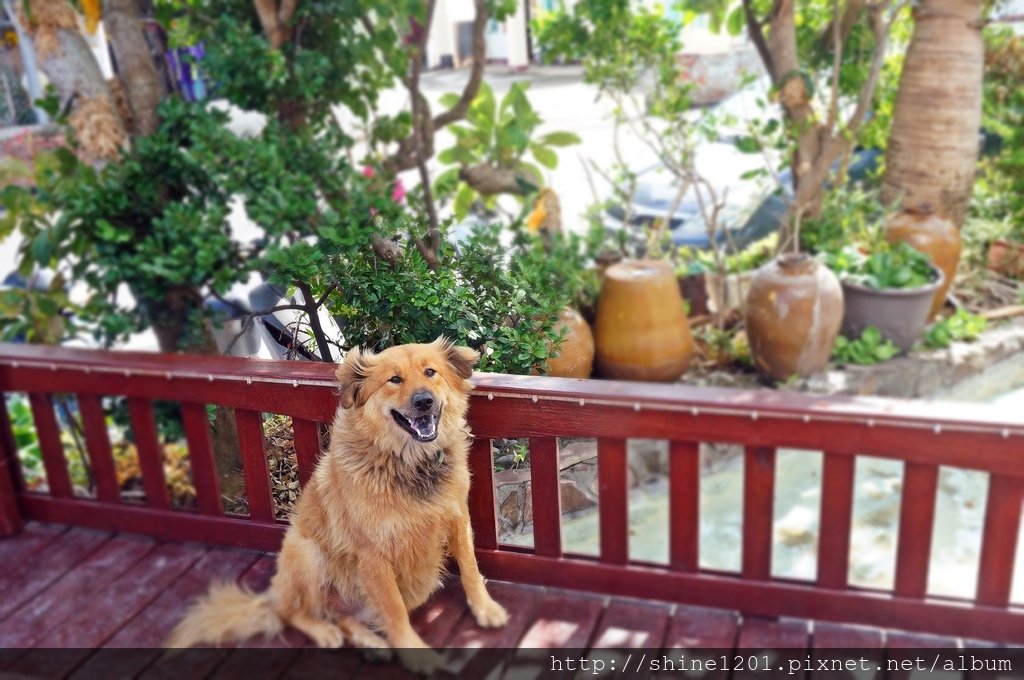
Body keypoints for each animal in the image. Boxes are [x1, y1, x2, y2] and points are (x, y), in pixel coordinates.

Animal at [167, 337, 512, 671]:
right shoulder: (374, 554)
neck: (408, 462)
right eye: (394, 379)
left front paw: (485, 608)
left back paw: (370, 642)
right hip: (309, 554)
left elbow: (470, 567)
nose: (424, 401)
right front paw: (416, 655)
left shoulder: (457, 518)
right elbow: (394, 610)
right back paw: (326, 632)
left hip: (419, 580)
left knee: (345, 616)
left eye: (431, 372)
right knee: (297, 613)